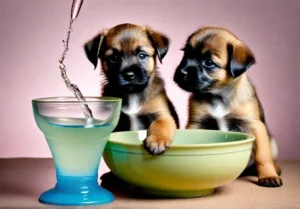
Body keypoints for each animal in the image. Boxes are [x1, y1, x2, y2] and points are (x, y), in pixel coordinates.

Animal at [83, 23, 179, 155]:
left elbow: (160, 124)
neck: (132, 93)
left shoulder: (162, 114)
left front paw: (157, 140)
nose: (129, 75)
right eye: (114, 57)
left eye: (142, 55)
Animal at [175, 27, 282, 187]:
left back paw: (275, 168)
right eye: (186, 53)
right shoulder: (196, 124)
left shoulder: (255, 127)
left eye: (209, 63)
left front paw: (268, 175)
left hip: (273, 144)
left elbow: (263, 157)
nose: (181, 72)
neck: (218, 96)